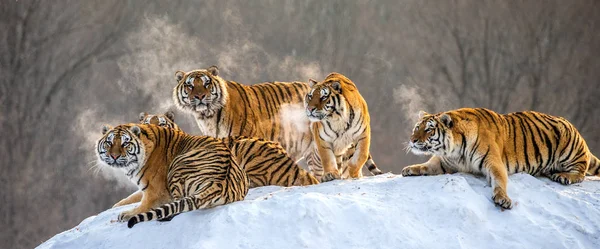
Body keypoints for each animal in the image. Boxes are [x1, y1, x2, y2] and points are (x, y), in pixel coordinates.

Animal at [97, 123, 247, 228]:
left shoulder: (156, 192)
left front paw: (126, 214)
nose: (114, 156)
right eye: (109, 143)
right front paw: (116, 206)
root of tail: (220, 183)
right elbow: (131, 197)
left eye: (125, 143)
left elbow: (144, 204)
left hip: (177, 166)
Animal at [400, 108, 600, 209]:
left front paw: (503, 199)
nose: (412, 140)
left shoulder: (493, 162)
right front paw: (410, 169)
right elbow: (427, 165)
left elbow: (499, 180)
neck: (453, 151)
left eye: (429, 130)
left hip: (569, 146)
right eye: (416, 128)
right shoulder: (445, 162)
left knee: (581, 171)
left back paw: (563, 176)